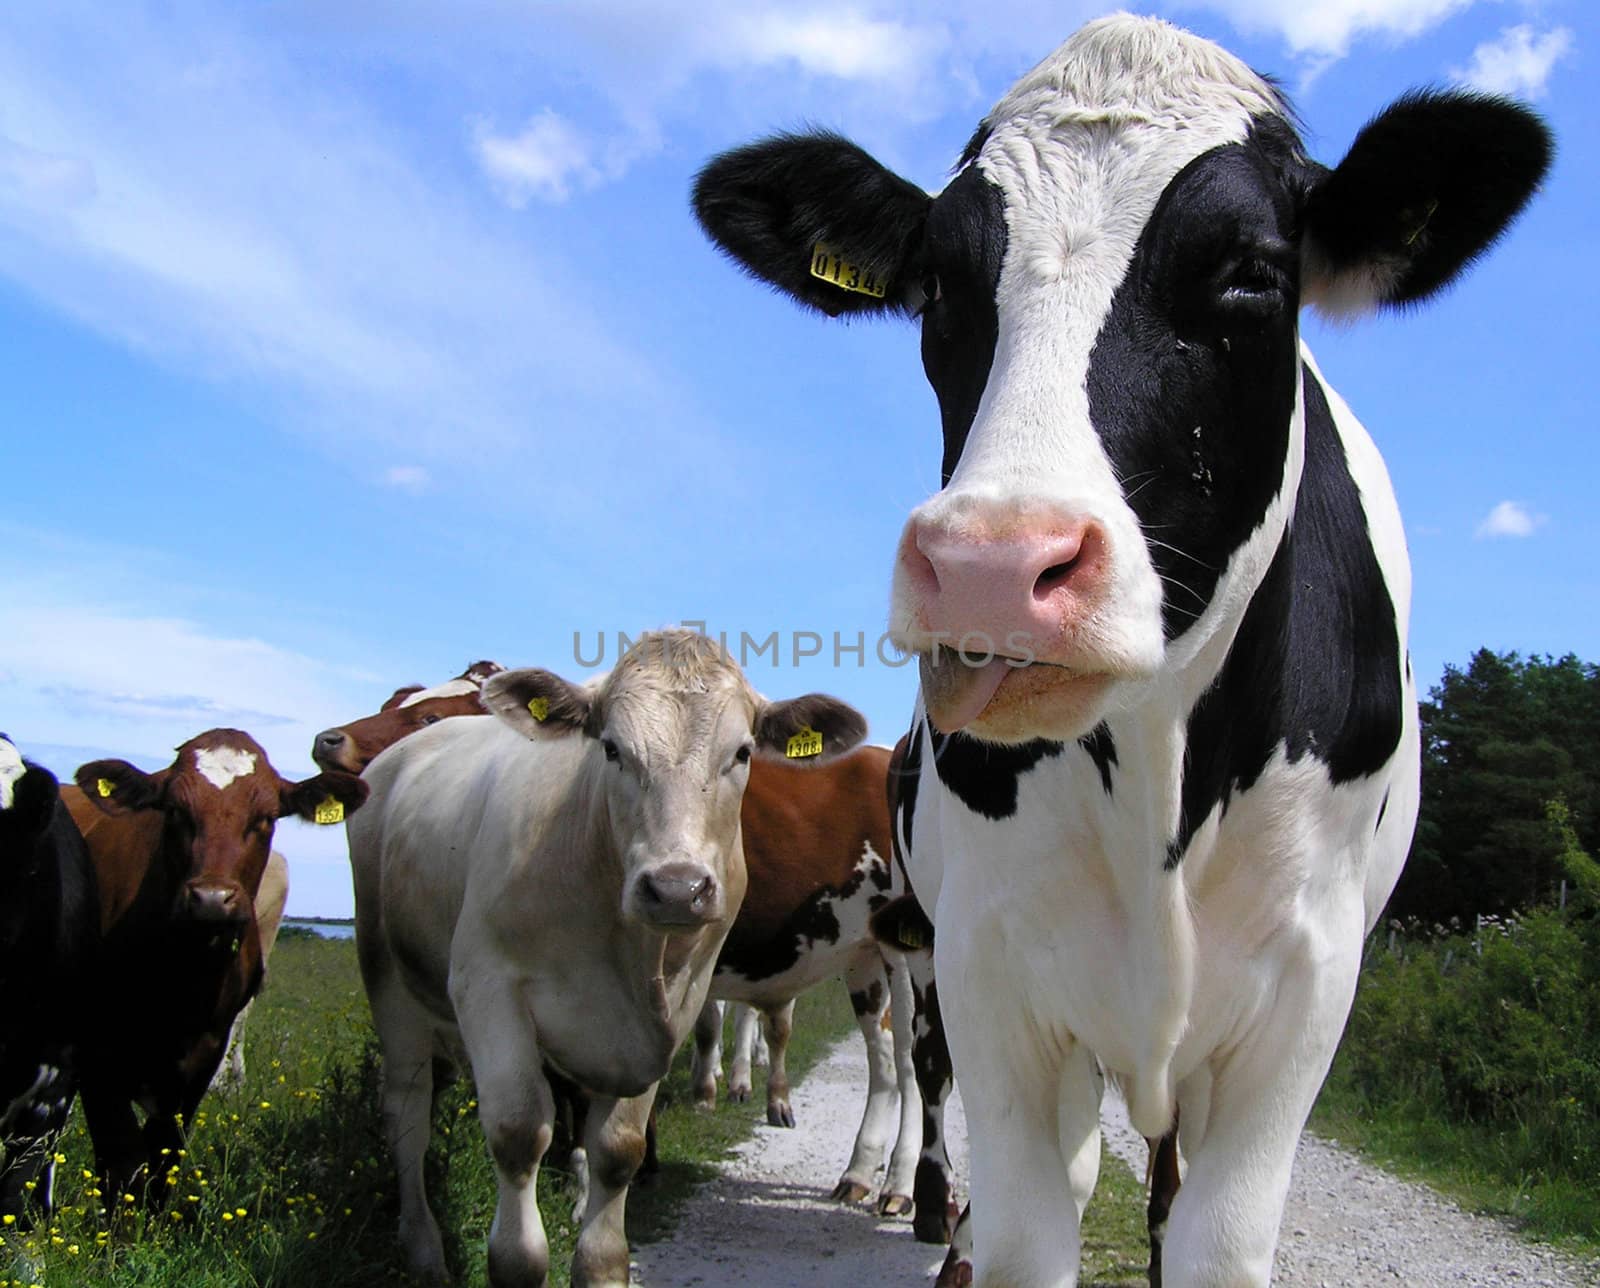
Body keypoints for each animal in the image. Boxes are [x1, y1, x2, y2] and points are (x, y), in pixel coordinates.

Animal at [64, 729, 366, 1203]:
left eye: (265, 817)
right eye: (174, 810)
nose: (210, 899)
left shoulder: (200, 1059)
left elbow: (162, 1160)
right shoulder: (95, 1056)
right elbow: (122, 1166)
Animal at [348, 627, 864, 1280]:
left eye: (744, 753)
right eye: (612, 749)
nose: (676, 887)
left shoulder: (668, 1013)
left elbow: (619, 1150)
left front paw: (602, 1262)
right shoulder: (488, 987)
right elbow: (519, 1133)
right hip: (390, 981)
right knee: (407, 1118)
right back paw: (422, 1249)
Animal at [694, 15, 1542, 1280]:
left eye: (1253, 272)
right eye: (936, 284)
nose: (993, 568)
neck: (1158, 779)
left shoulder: (1303, 995)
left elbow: (1207, 1234)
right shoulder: (991, 966)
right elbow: (1026, 1217)